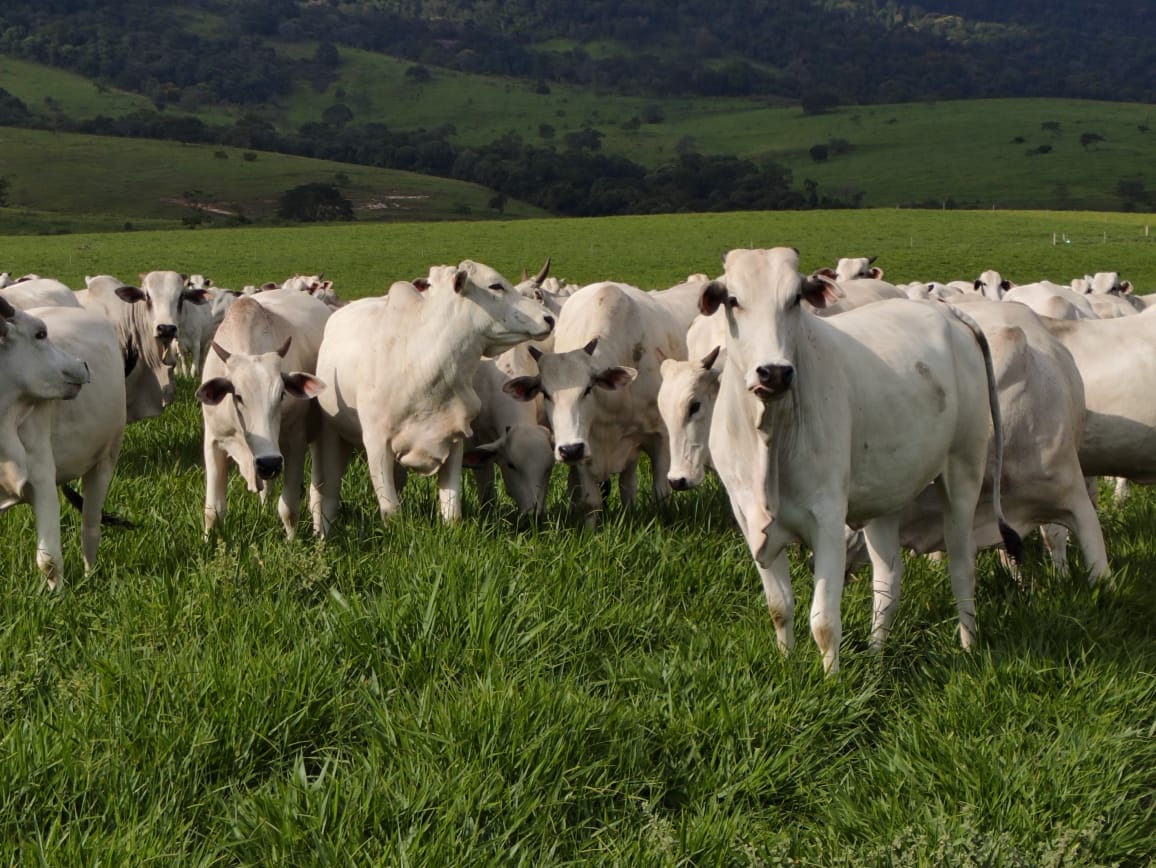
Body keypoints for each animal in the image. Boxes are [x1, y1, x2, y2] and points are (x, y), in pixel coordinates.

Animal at [0, 300, 126, 591]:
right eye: (40, 334)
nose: (83, 365)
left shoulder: (42, 481)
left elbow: (48, 560)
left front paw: (58, 597)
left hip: (106, 459)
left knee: (90, 524)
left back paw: (90, 574)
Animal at [197, 288, 332, 540]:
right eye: (238, 396)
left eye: (282, 395)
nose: (269, 463)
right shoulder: (213, 443)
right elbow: (213, 510)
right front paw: (207, 542)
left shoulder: (295, 443)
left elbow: (288, 508)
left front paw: (292, 542)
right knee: (266, 490)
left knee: (317, 492)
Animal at [314, 261, 552, 533]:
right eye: (495, 285)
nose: (548, 318)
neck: (422, 364)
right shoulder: (376, 443)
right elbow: (391, 510)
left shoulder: (455, 439)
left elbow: (452, 509)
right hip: (331, 435)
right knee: (328, 488)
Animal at [504, 279, 684, 522]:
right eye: (546, 393)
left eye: (588, 389)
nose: (569, 450)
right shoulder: (586, 446)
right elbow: (591, 502)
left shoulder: (660, 438)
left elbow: (662, 495)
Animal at [698, 247, 1017, 674]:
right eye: (733, 299)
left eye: (795, 299)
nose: (775, 372)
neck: (770, 436)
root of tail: (948, 313)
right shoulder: (748, 519)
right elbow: (779, 607)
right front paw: (786, 662)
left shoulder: (828, 517)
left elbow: (823, 621)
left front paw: (831, 680)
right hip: (886, 495)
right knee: (888, 578)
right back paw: (877, 655)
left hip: (964, 472)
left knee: (963, 566)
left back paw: (967, 646)